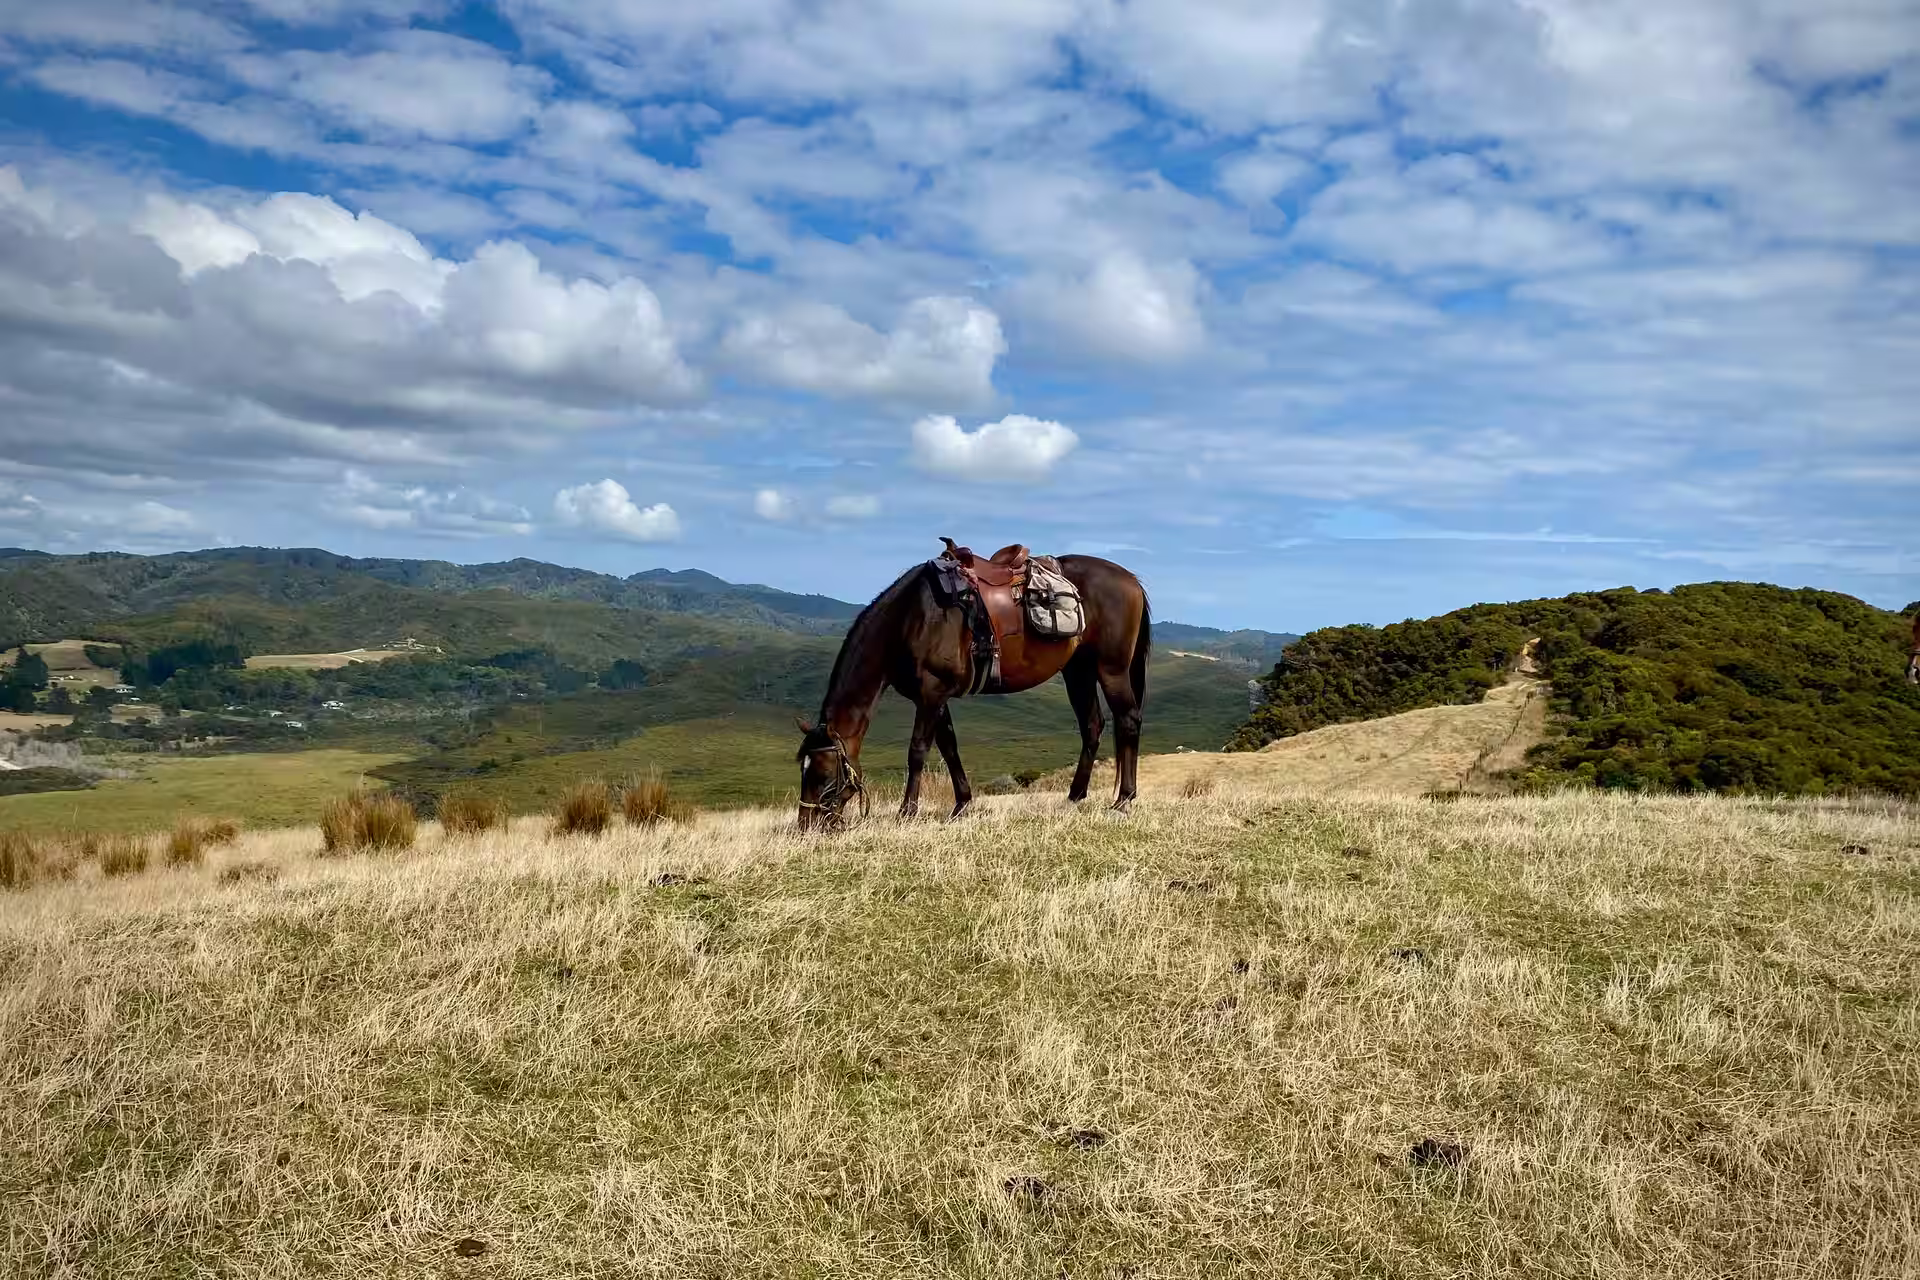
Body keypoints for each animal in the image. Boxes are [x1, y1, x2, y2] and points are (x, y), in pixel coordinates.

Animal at [793, 547, 1151, 830]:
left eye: (823, 773)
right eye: (803, 769)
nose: (806, 827)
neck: (912, 617)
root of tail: (1131, 580)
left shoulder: (931, 695)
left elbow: (917, 752)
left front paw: (907, 812)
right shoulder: (935, 698)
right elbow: (949, 748)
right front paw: (962, 805)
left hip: (1111, 669)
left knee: (1128, 720)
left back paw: (1123, 800)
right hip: (1078, 670)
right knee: (1092, 725)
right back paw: (1074, 796)